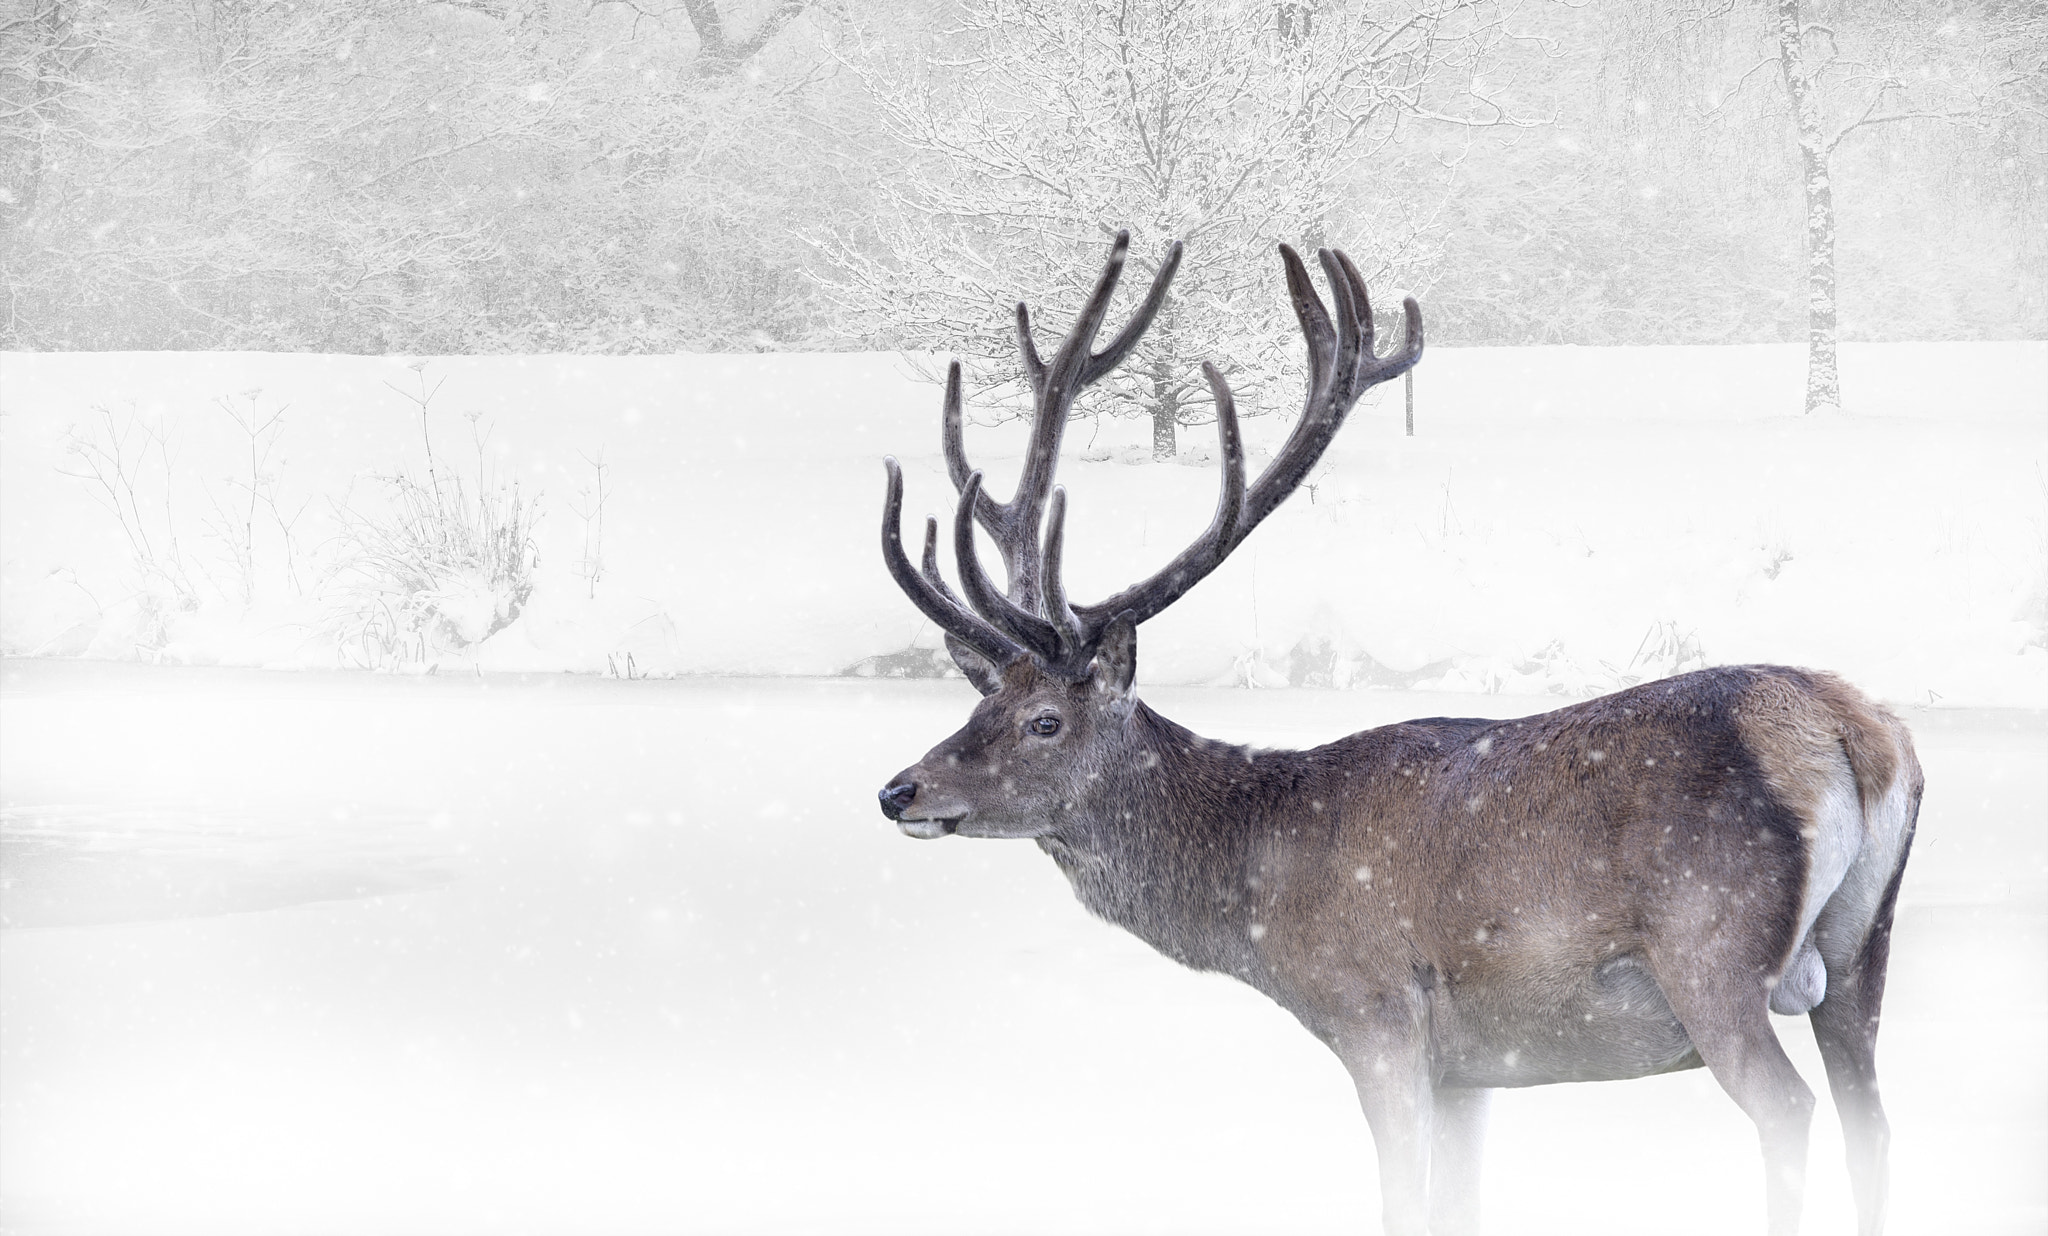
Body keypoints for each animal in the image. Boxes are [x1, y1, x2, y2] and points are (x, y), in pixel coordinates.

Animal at [872, 231, 1921, 1236]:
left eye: (1044, 720)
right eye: (977, 704)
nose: (898, 789)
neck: (1258, 884)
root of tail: (1852, 732)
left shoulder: (1376, 1013)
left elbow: (1400, 1202)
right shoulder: (1475, 1069)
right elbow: (1458, 1206)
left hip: (1711, 948)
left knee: (1791, 1113)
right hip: (1863, 949)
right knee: (1873, 1122)